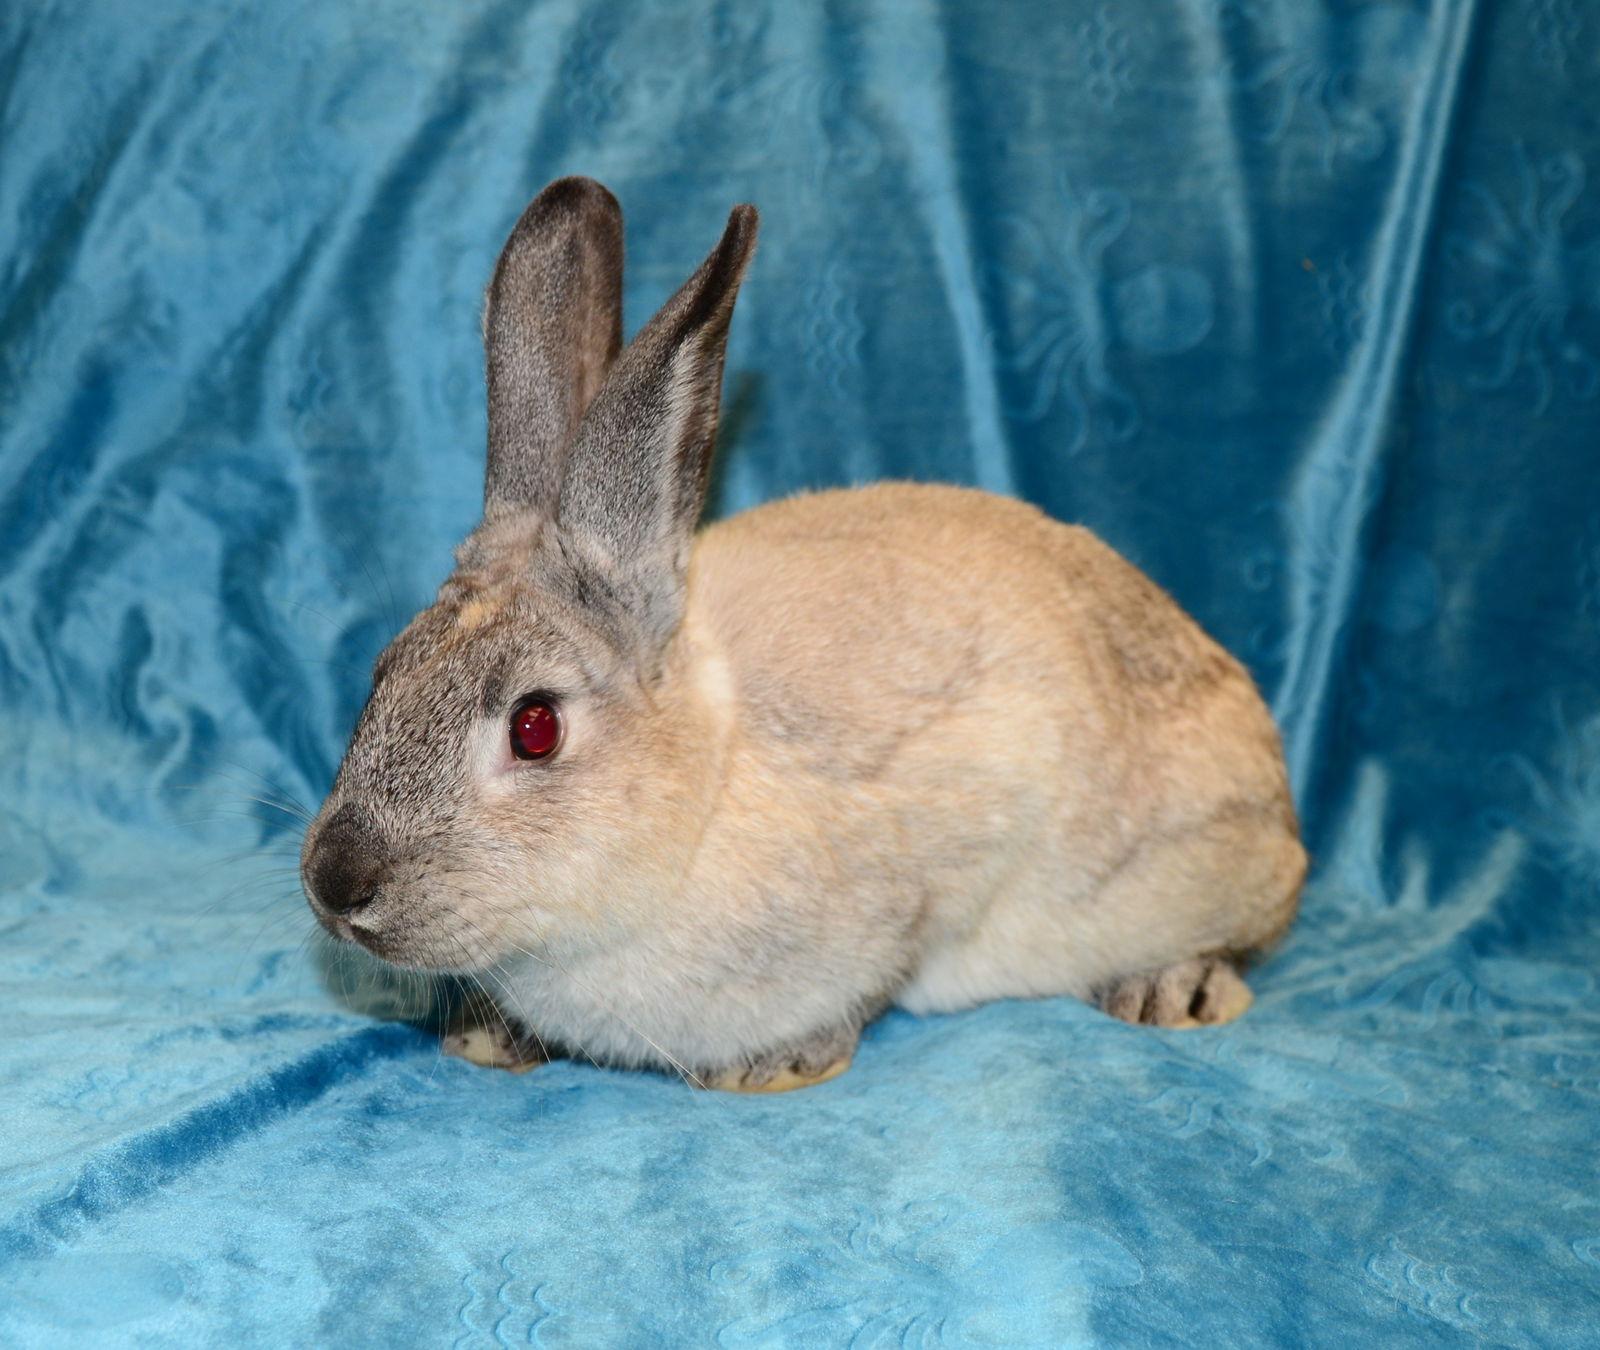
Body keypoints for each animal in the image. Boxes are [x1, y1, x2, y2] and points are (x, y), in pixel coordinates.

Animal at [300, 176, 1306, 1093]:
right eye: (384, 672)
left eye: (535, 727)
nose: (334, 884)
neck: (701, 786)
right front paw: (489, 1040)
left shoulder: (957, 841)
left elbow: (881, 971)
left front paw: (778, 1064)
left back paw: (1173, 992)